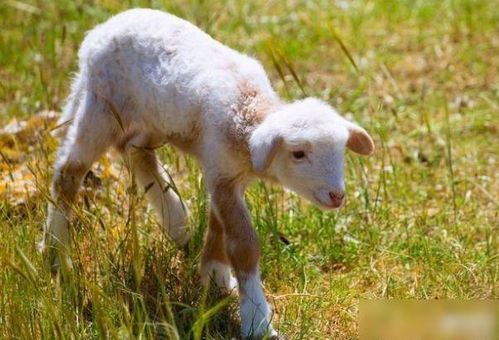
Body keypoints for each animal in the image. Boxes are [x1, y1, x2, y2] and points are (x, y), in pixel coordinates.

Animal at [43, 8, 374, 340]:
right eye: (298, 154)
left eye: (342, 150)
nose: (336, 196)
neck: (247, 113)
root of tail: (100, 31)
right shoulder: (222, 173)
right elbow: (243, 245)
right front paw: (256, 320)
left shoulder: (226, 174)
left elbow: (218, 226)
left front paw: (215, 277)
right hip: (102, 106)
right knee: (69, 171)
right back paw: (55, 253)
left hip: (152, 119)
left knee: (135, 151)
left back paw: (176, 222)